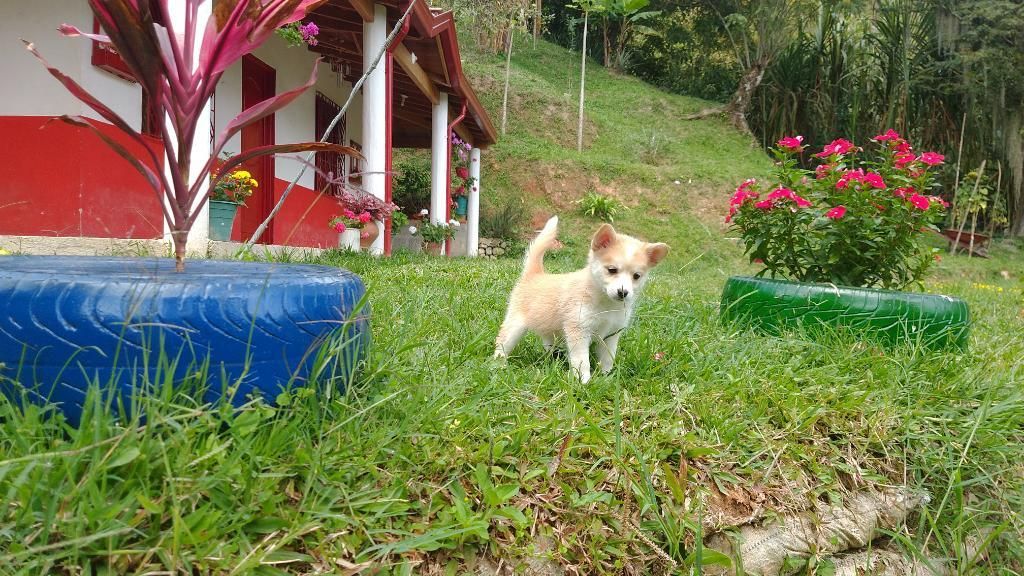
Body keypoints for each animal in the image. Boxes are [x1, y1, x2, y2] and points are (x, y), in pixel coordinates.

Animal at [495, 215, 671, 381]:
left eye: (636, 276)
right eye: (612, 270)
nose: (623, 292)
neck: (605, 304)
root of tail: (535, 274)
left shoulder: (612, 335)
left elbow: (608, 358)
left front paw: (606, 377)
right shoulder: (579, 331)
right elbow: (582, 360)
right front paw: (583, 381)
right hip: (515, 324)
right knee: (502, 344)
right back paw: (498, 365)